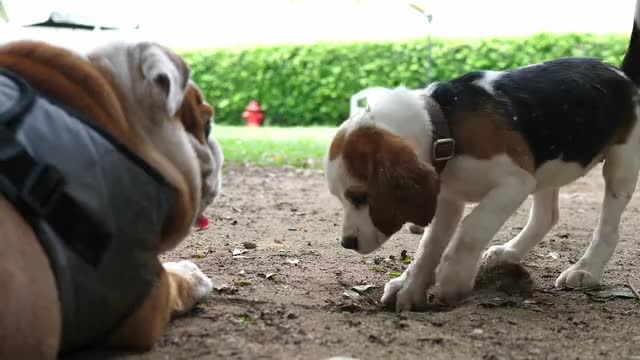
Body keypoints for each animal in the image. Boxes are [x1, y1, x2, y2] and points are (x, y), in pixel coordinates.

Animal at [324, 2, 640, 310]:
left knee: (608, 226)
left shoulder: (515, 183)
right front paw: (410, 288)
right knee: (546, 217)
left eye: (360, 197)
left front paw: (453, 276)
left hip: (620, 164)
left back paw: (586, 269)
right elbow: (429, 245)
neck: (445, 124)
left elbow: (472, 228)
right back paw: (509, 252)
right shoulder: (447, 198)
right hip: (547, 165)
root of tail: (624, 75)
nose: (347, 243)